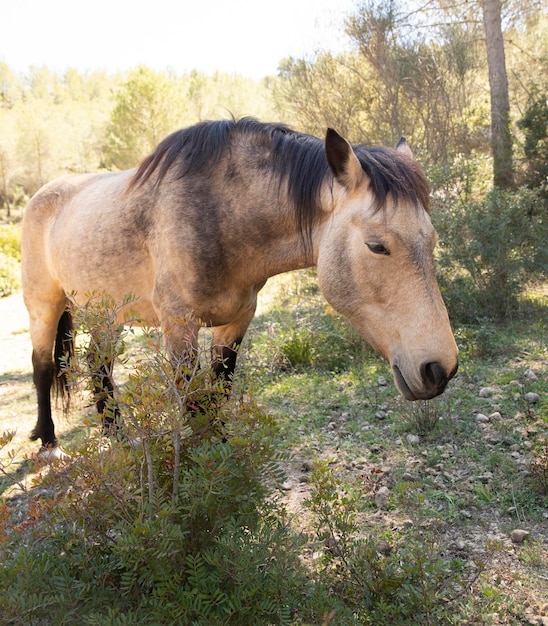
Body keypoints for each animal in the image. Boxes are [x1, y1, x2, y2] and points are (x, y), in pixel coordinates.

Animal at [21, 117, 458, 450]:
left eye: (433, 241)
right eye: (376, 246)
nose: (440, 369)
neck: (218, 217)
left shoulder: (236, 321)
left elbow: (218, 393)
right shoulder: (179, 325)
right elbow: (193, 400)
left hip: (104, 313)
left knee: (99, 363)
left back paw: (116, 435)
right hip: (44, 305)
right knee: (43, 366)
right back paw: (49, 441)